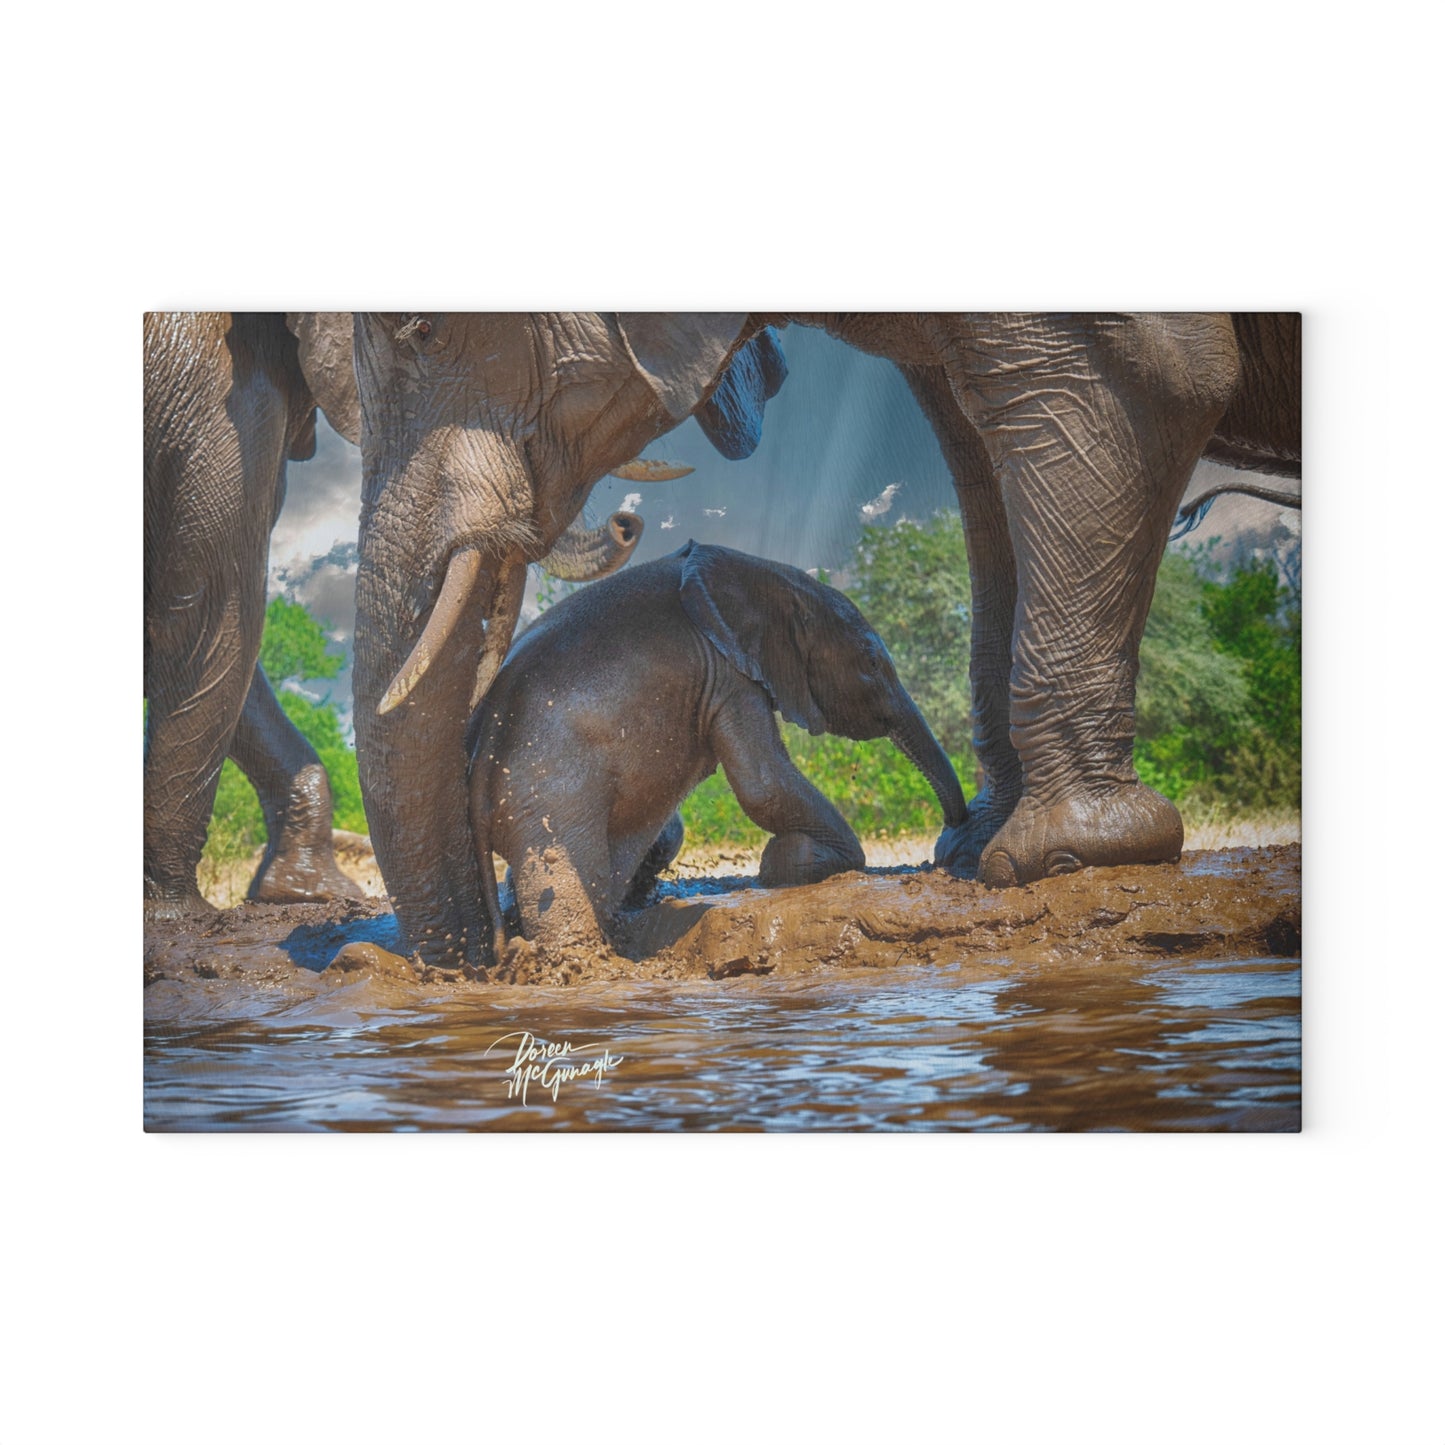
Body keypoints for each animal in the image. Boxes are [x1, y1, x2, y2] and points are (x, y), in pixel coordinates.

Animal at [468, 541, 968, 959]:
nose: (952, 834)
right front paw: (794, 862)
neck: (765, 576)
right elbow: (763, 784)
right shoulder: (729, 673)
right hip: (550, 800)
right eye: (872, 662)